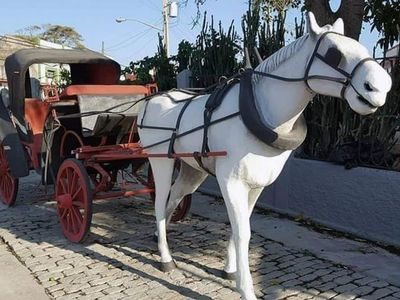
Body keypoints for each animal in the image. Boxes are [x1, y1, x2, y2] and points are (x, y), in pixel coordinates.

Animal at [137, 13, 390, 300]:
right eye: (333, 53)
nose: (381, 87)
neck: (258, 111)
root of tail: (149, 102)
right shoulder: (231, 182)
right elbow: (242, 232)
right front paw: (246, 288)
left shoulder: (256, 183)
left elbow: (241, 226)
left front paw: (230, 269)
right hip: (160, 161)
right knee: (159, 203)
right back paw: (165, 257)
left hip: (193, 170)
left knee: (173, 199)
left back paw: (159, 238)